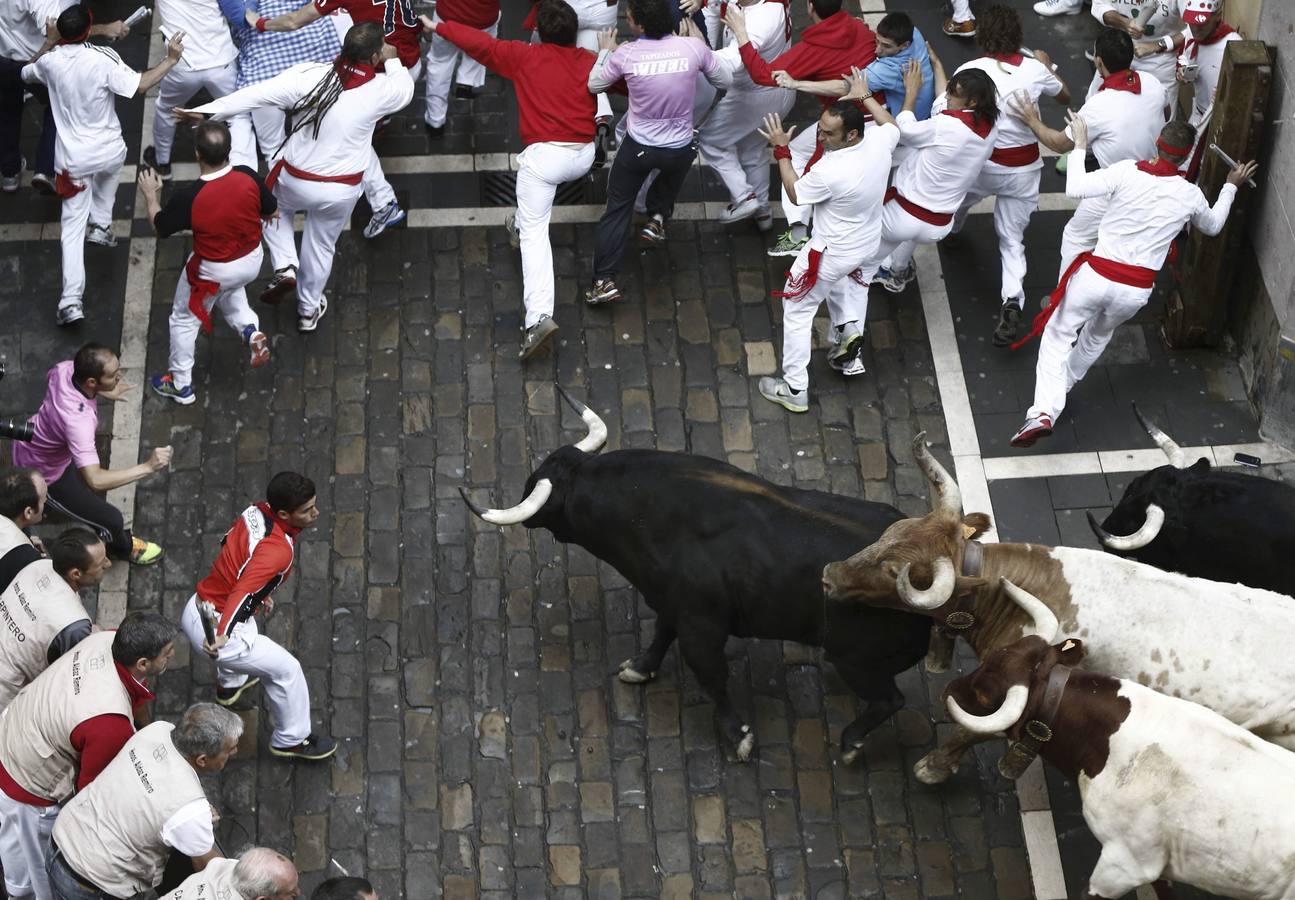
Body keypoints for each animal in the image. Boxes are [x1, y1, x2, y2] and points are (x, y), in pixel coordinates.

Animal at [466, 391, 932, 761]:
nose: (527, 505)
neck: (651, 514)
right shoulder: (671, 603)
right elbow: (660, 635)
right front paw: (639, 668)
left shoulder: (701, 627)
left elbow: (711, 677)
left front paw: (738, 736)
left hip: (856, 661)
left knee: (889, 699)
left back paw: (852, 743)